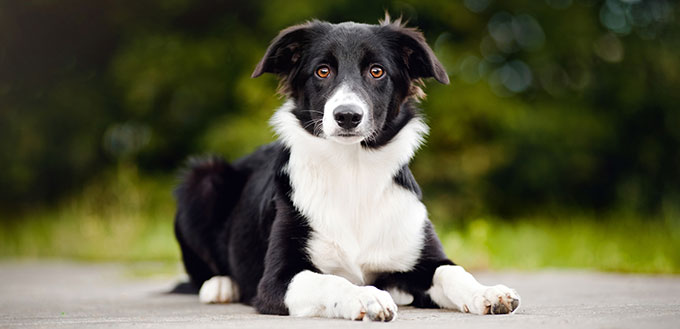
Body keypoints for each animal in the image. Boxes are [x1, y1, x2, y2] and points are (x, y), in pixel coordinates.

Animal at [175, 16, 520, 320]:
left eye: (377, 71)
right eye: (322, 71)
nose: (347, 116)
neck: (353, 170)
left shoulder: (423, 258)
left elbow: (452, 271)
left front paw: (488, 292)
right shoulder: (276, 280)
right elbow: (330, 279)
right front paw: (365, 296)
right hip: (202, 180)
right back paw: (220, 285)